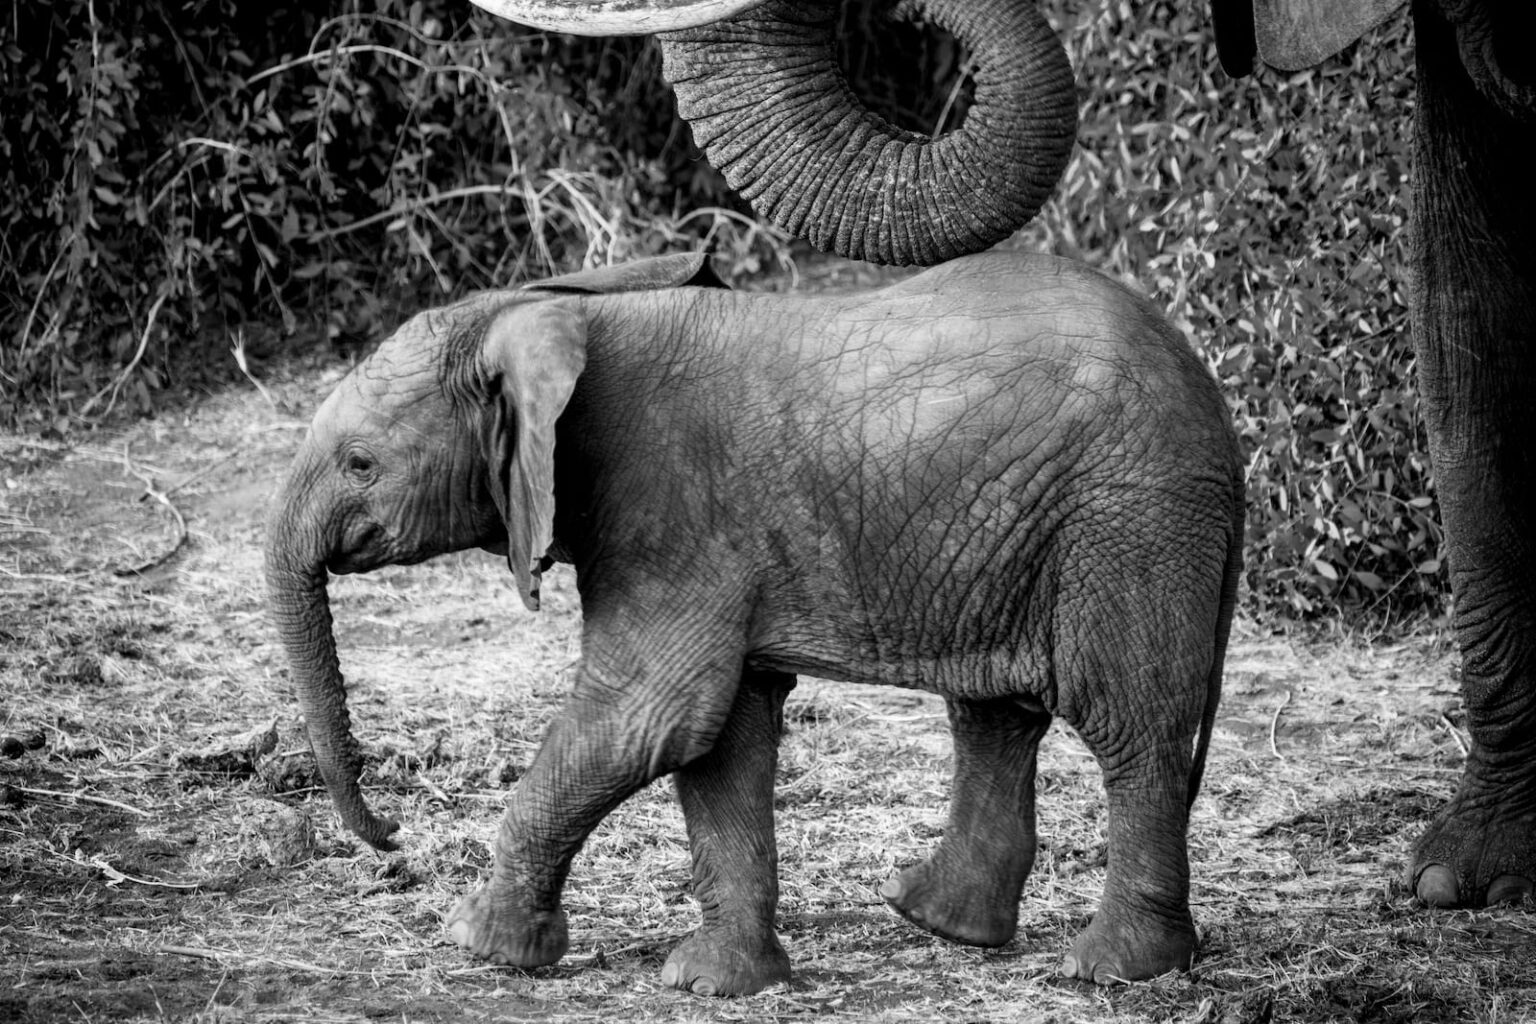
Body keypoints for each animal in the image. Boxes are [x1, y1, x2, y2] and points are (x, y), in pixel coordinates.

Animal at [265, 251, 1245, 993]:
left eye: (360, 464)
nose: (393, 837)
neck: (553, 315)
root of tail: (1218, 407)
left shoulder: (671, 514)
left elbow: (652, 717)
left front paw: (479, 942)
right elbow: (719, 739)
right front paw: (715, 984)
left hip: (1128, 520)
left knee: (1130, 731)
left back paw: (1113, 971)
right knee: (997, 715)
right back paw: (938, 920)